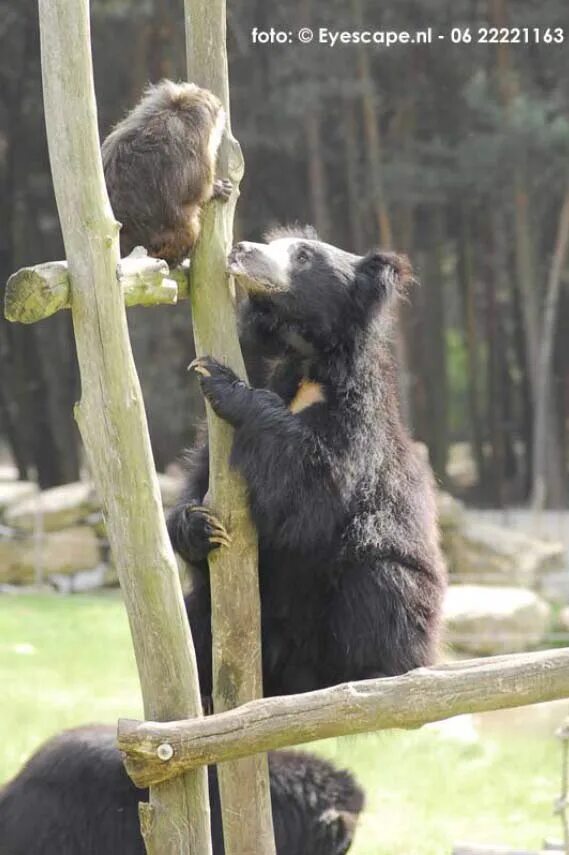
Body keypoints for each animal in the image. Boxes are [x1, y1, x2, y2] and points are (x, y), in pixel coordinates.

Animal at [168, 226, 447, 701]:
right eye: (272, 244)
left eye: (302, 256)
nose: (241, 249)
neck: (306, 357)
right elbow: (203, 477)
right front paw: (198, 525)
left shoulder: (354, 421)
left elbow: (314, 491)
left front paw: (219, 379)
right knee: (197, 618)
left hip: (389, 590)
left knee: (381, 589)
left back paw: (374, 676)